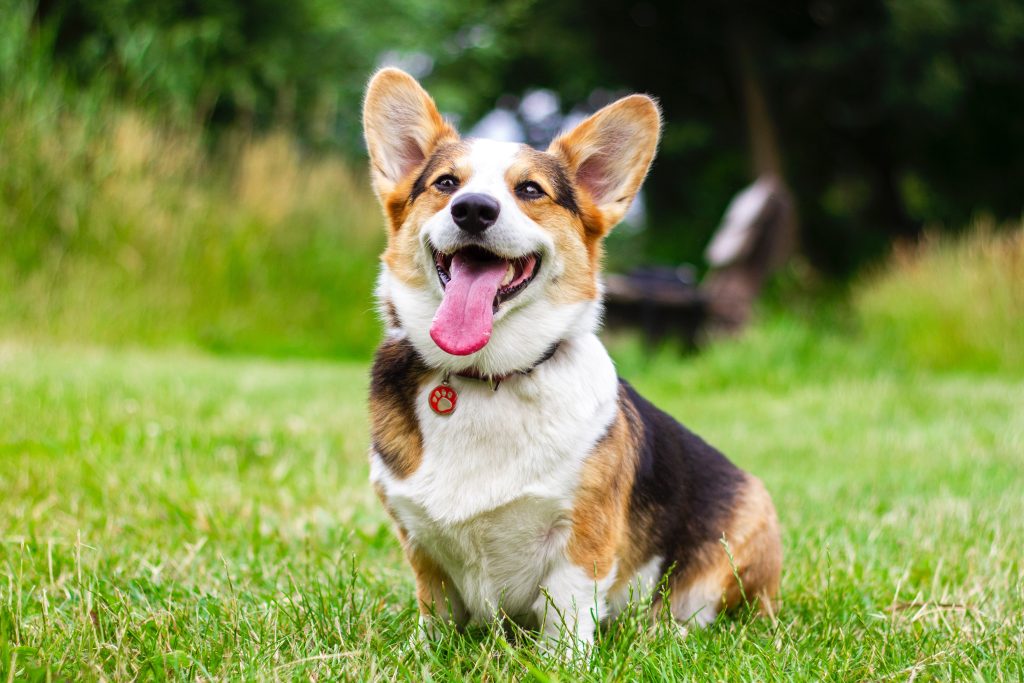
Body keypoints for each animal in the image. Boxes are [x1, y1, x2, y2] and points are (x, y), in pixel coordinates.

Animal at [364, 68, 778, 651]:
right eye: (446, 184)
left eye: (529, 190)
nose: (473, 209)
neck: (488, 375)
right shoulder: (420, 543)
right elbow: (435, 611)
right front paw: (424, 653)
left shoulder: (581, 537)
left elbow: (566, 616)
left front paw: (562, 661)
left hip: (742, 536)